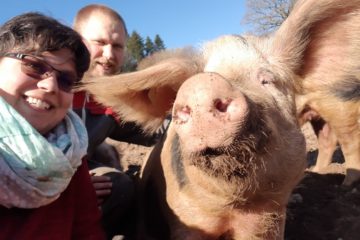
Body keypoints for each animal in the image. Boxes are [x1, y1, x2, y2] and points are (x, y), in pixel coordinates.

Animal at [81, 0, 360, 238]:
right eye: (189, 84)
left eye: (267, 80)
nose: (201, 85)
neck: (233, 208)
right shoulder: (185, 220)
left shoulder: (269, 218)